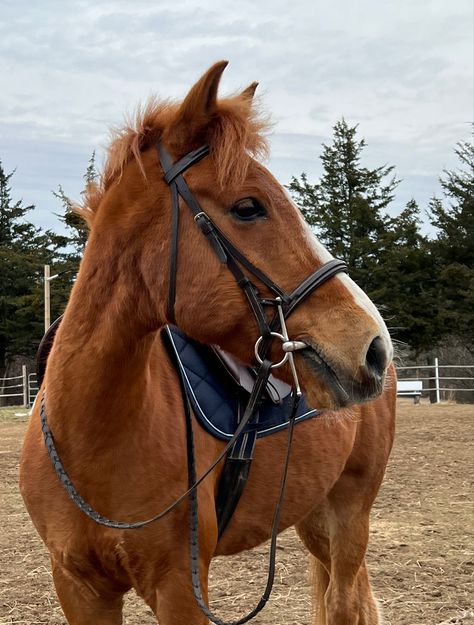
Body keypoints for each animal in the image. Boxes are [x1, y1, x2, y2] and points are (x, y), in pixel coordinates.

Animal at [19, 59, 396, 624]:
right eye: (248, 207)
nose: (373, 347)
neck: (92, 435)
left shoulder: (181, 587)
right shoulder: (78, 587)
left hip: (351, 509)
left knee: (344, 603)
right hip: (313, 512)